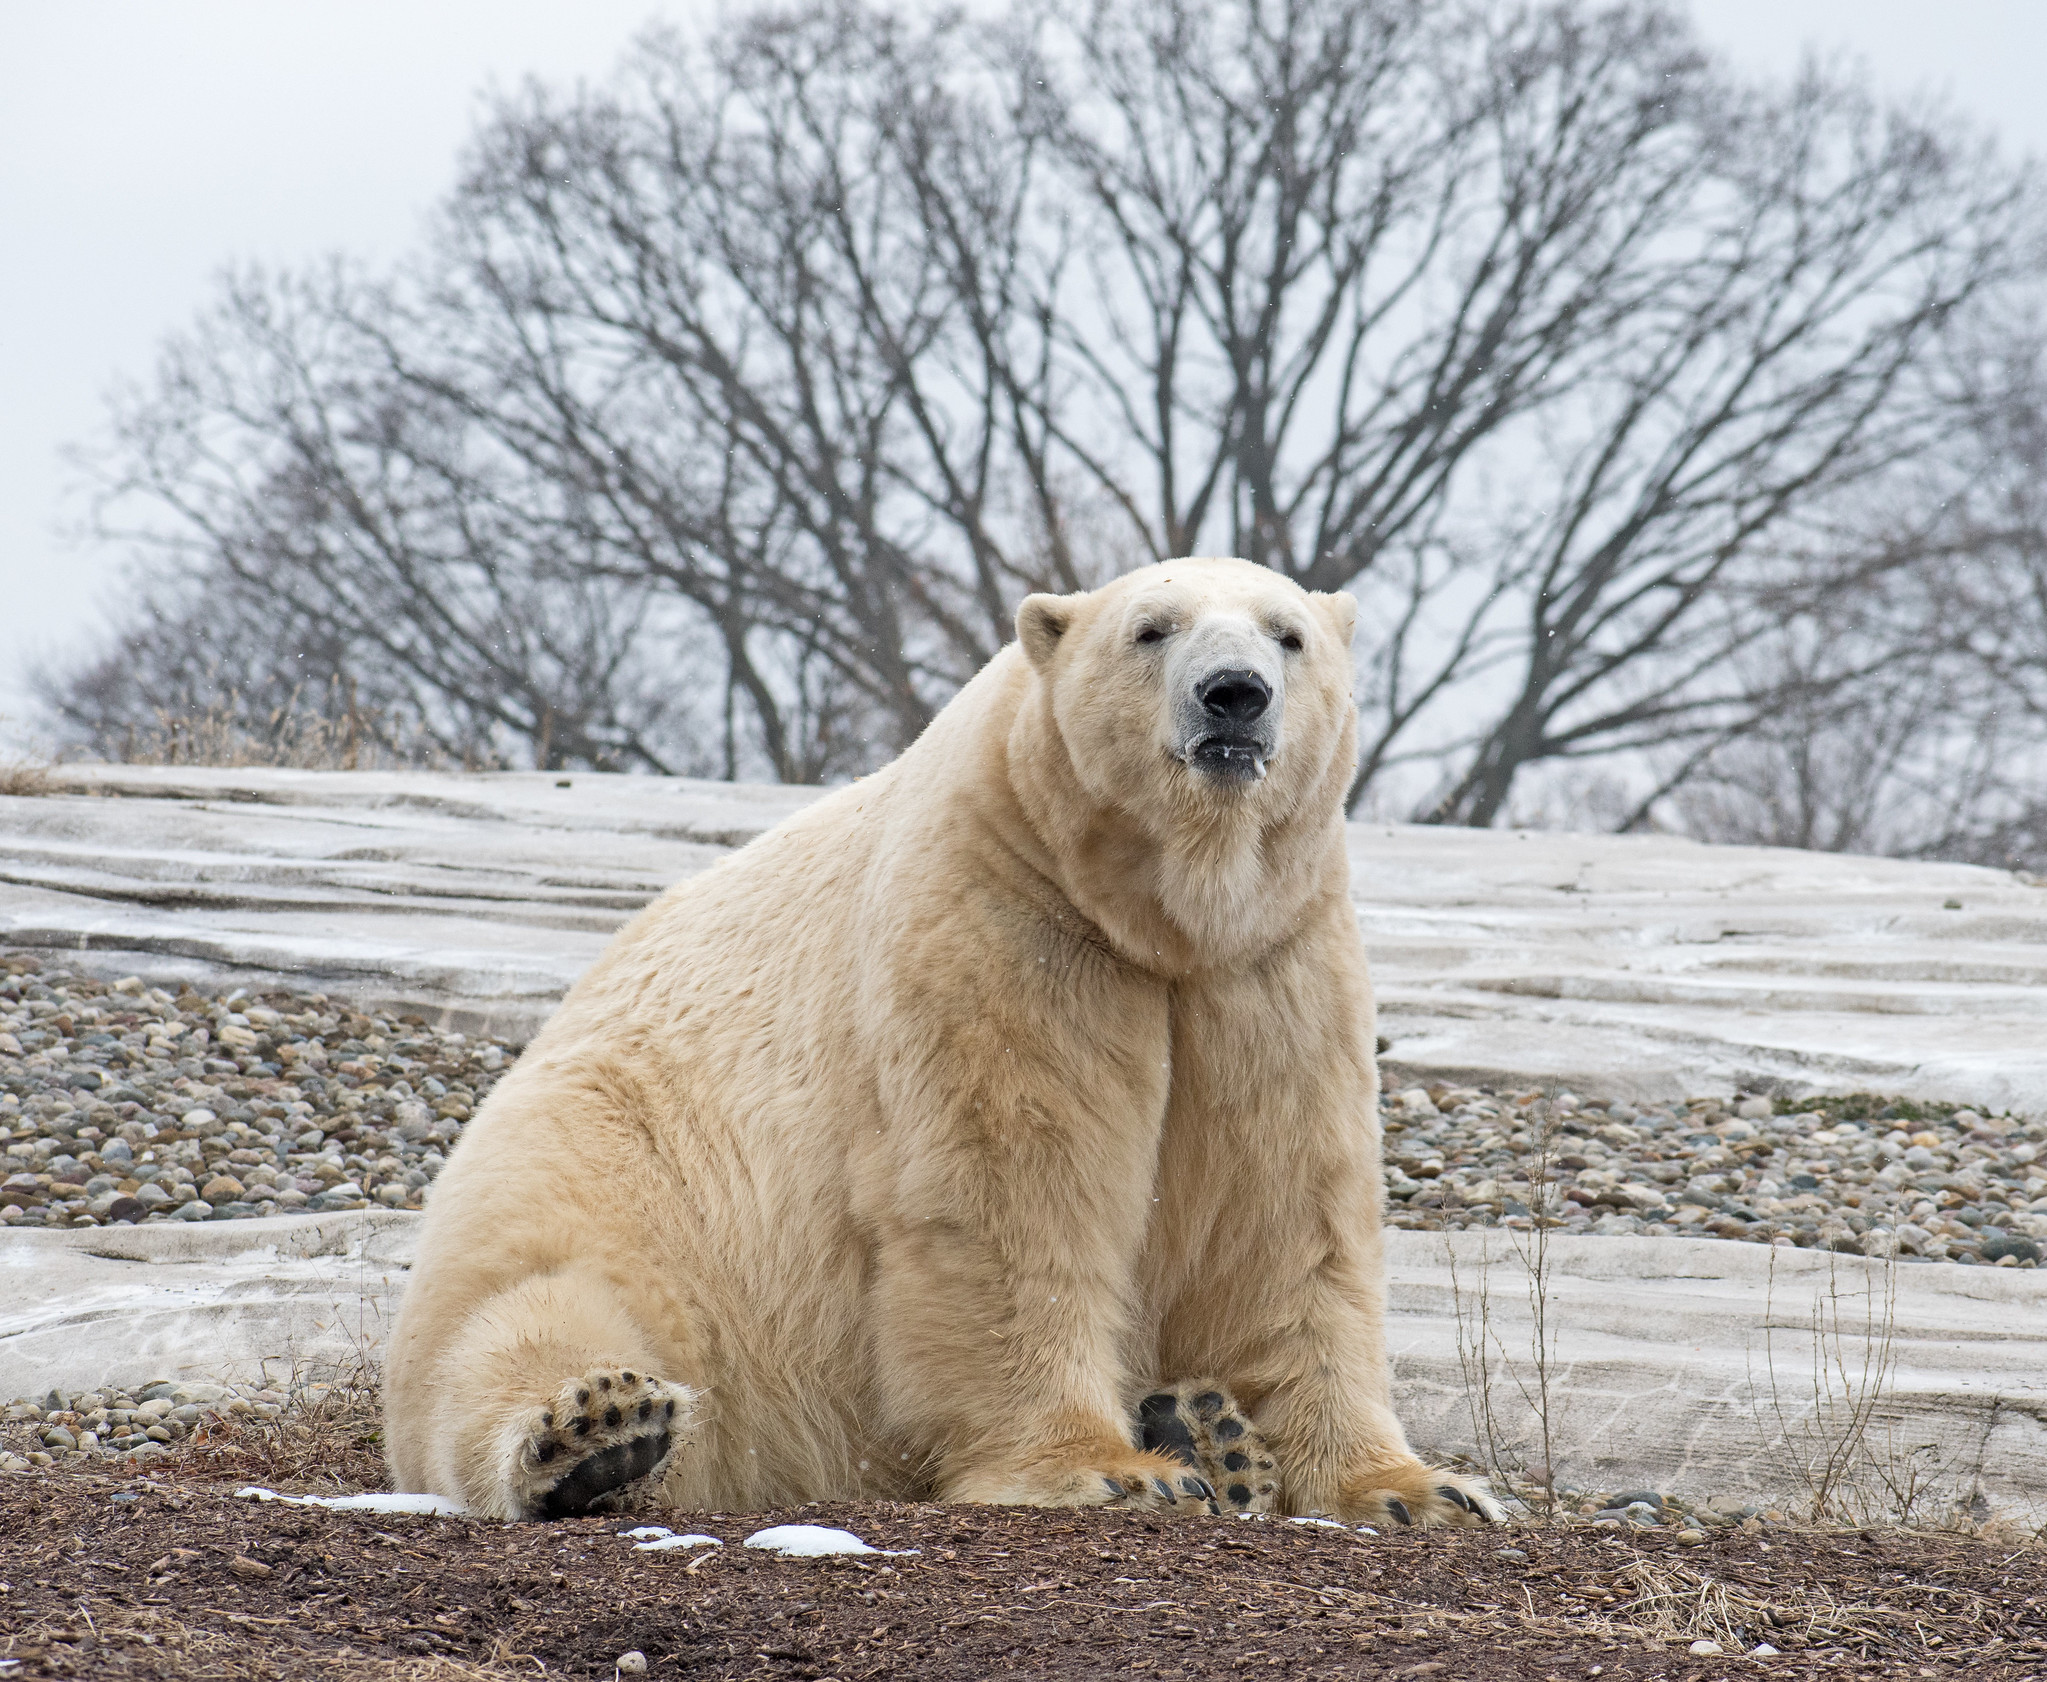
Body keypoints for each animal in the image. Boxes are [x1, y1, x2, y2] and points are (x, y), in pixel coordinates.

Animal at [383, 556, 1497, 1529]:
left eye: (1287, 633)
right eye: (1152, 628)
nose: (1235, 695)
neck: (1154, 917)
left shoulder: (1268, 968)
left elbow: (1289, 1213)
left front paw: (1418, 1490)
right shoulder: (1003, 921)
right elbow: (1009, 1190)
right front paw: (1106, 1470)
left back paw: (1210, 1431)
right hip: (614, 1187)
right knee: (530, 1316)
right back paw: (598, 1430)